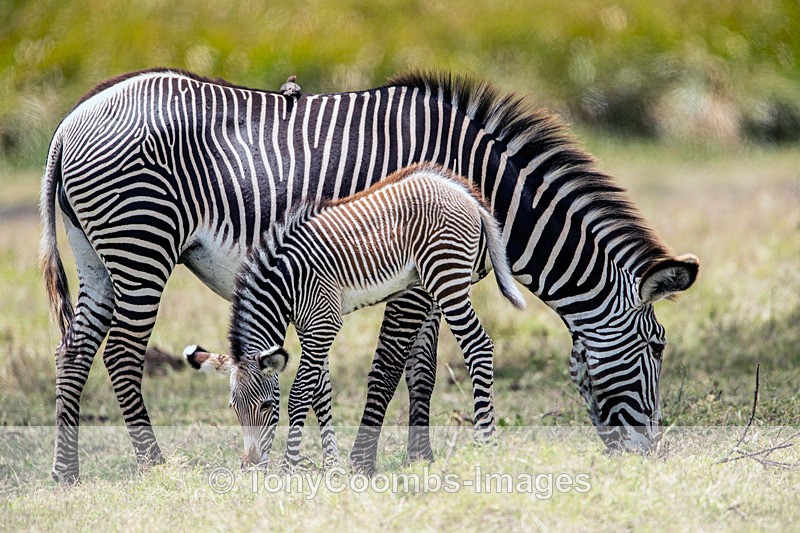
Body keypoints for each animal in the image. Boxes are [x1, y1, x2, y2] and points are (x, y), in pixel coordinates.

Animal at [183, 163, 526, 467]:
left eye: (267, 405)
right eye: (234, 408)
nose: (250, 466)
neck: (287, 282)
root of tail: (464, 193)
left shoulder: (323, 322)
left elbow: (300, 394)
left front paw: (290, 467)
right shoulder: (311, 326)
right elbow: (320, 394)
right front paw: (332, 466)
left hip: (446, 277)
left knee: (478, 346)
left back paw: (486, 444)